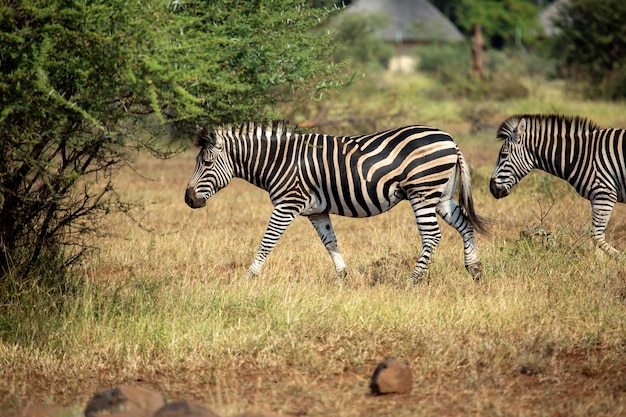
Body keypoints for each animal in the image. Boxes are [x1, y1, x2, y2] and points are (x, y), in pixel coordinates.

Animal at [185, 121, 488, 282]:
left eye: (207, 164)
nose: (188, 199)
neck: (278, 161)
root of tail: (450, 139)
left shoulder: (286, 204)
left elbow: (267, 241)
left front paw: (249, 277)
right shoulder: (316, 211)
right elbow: (330, 242)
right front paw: (342, 277)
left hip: (422, 192)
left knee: (432, 236)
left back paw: (412, 281)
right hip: (442, 195)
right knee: (464, 225)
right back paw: (474, 270)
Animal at [488, 114, 624, 256]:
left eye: (504, 155)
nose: (492, 188)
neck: (581, 156)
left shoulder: (604, 194)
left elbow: (596, 236)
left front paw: (619, 257)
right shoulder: (598, 197)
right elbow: (598, 239)